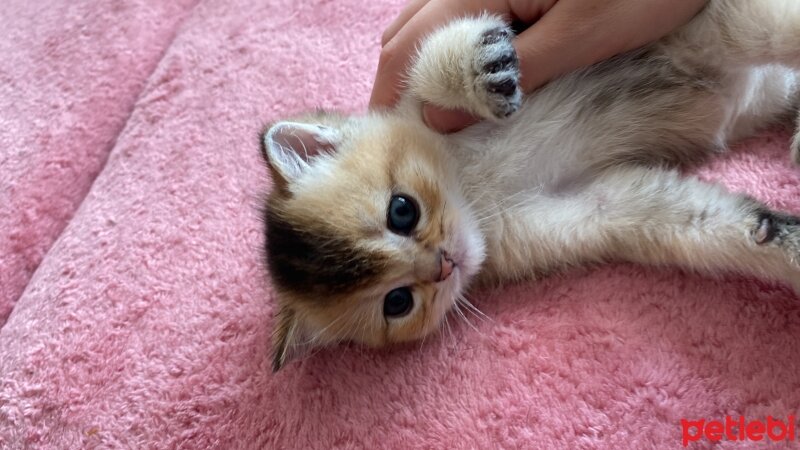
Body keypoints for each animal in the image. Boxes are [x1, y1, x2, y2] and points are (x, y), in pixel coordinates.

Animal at [260, 1, 800, 370]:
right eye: (398, 302)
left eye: (402, 211)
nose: (444, 263)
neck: (474, 187)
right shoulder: (597, 207)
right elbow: (700, 222)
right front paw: (781, 245)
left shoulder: (419, 104)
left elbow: (430, 57)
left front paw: (478, 68)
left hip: (731, 22)